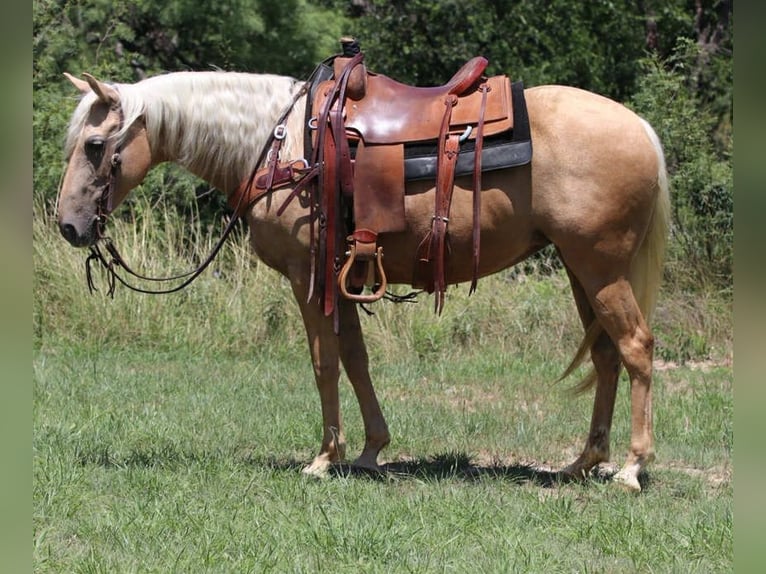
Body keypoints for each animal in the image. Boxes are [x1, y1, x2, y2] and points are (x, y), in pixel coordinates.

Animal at [56, 65, 669, 492]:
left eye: (95, 145)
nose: (68, 225)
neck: (281, 147)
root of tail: (640, 126)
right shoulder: (340, 278)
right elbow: (355, 358)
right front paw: (372, 450)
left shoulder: (307, 277)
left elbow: (324, 363)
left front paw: (324, 457)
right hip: (580, 269)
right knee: (607, 355)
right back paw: (584, 462)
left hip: (599, 267)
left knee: (636, 348)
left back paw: (631, 469)